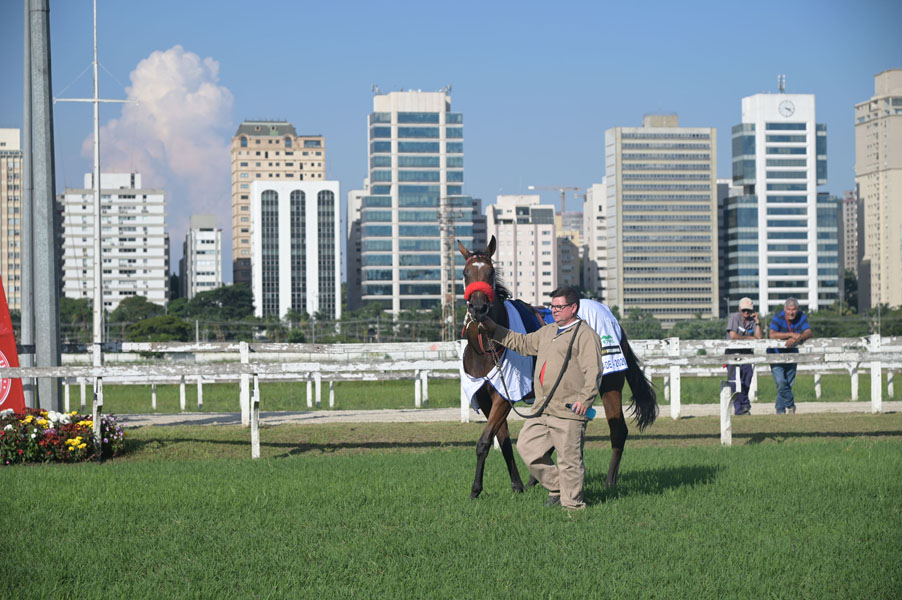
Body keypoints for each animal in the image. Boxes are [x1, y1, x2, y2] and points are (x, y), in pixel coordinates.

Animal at [459, 236, 658, 498]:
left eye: (490, 273)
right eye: (465, 273)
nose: (479, 308)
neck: (485, 349)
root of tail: (612, 317)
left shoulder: (504, 395)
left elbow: (484, 441)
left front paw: (475, 489)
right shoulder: (484, 397)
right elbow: (502, 441)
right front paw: (517, 485)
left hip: (609, 383)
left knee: (618, 430)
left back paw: (609, 483)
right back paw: (537, 478)